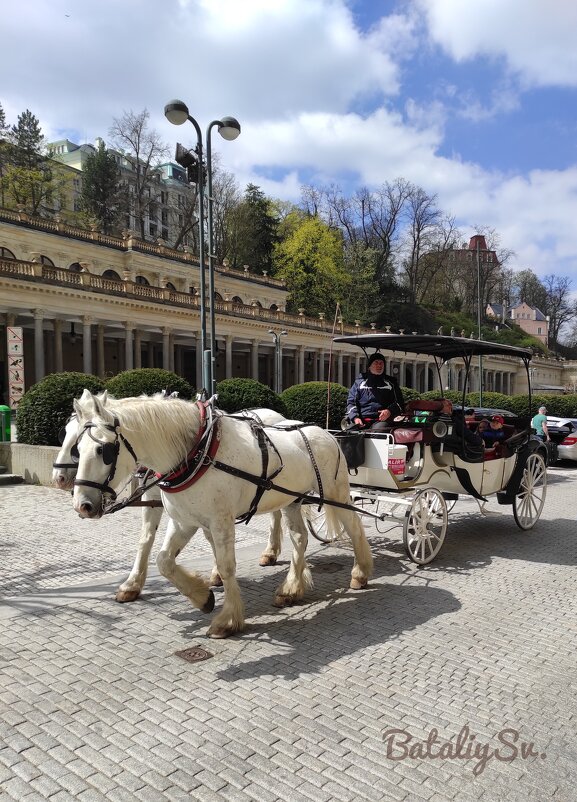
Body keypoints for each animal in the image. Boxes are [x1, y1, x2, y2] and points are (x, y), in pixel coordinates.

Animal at [53, 396, 286, 600]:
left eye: (101, 450)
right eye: (75, 445)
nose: (59, 478)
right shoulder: (155, 499)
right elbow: (147, 538)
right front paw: (132, 584)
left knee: (277, 514)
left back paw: (270, 552)